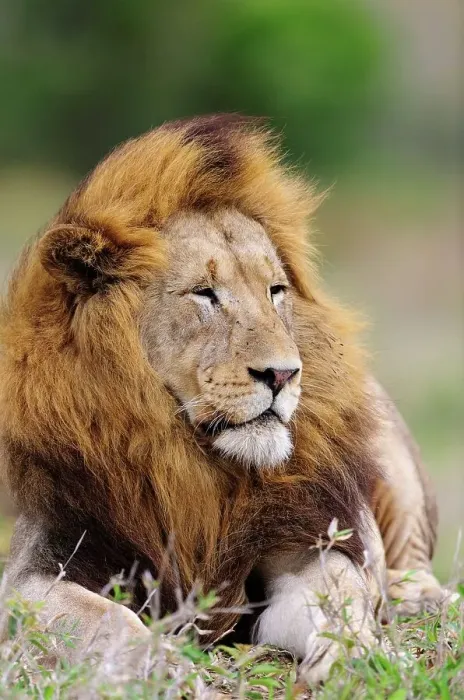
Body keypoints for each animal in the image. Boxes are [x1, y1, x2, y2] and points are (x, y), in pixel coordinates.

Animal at [0, 114, 443, 681]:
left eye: (275, 291)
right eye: (204, 294)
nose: (283, 373)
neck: (187, 461)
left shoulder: (298, 548)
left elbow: (341, 596)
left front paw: (359, 655)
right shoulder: (34, 571)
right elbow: (108, 620)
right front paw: (168, 667)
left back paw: (419, 599)